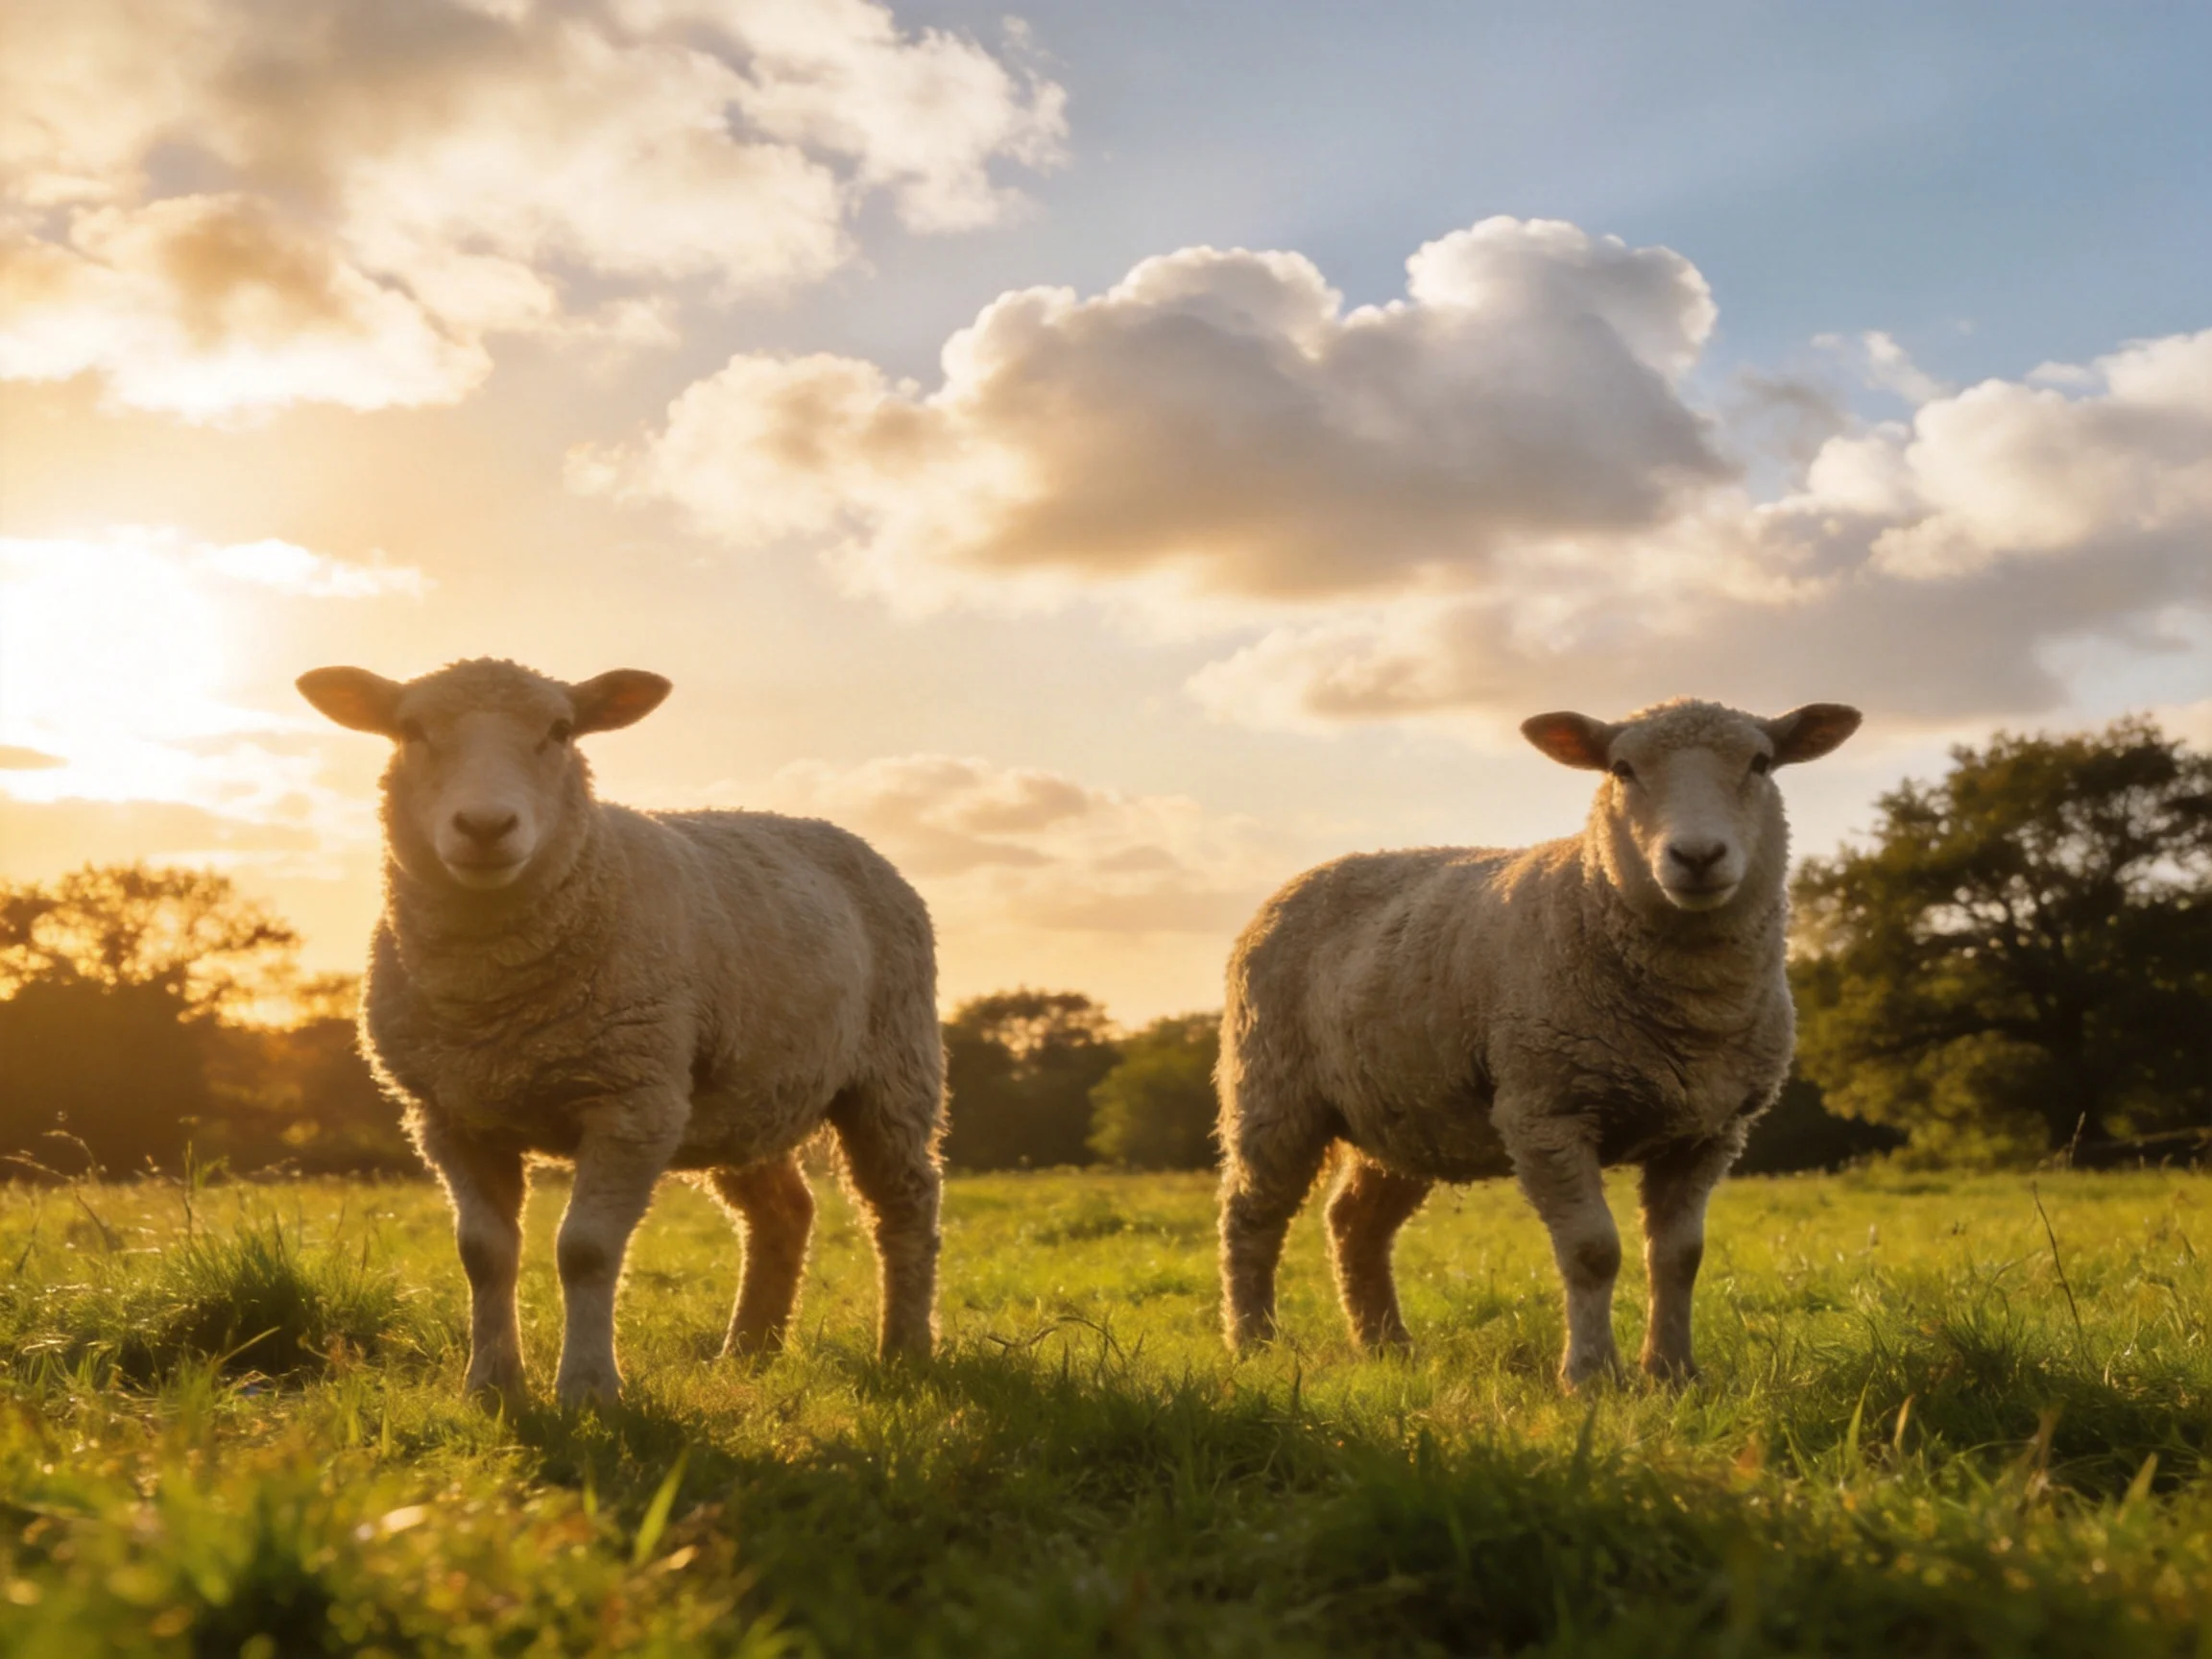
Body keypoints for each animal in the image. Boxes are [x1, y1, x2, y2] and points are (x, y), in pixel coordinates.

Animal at [297, 657, 944, 1407]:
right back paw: (748, 1353)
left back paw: (905, 1350)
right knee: (783, 1211)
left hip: (892, 1070)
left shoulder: (632, 1101)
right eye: (410, 730)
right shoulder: (451, 1116)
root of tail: (831, 831)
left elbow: (586, 1249)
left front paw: (587, 1389)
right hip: (744, 1095)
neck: (495, 1001)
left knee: (905, 1206)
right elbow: (484, 1254)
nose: (486, 825)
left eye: (560, 730)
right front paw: (491, 1386)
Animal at [1216, 697, 1861, 1388]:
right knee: (1251, 1217)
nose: (1697, 855)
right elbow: (1593, 1251)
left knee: (1354, 1224)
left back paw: (1386, 1346)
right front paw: (1591, 1377)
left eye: (1761, 763)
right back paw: (1254, 1342)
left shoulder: (1709, 1132)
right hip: (1272, 1090)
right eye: (1622, 769)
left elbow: (1680, 1256)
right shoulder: (1546, 1109)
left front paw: (1673, 1373)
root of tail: (1308, 876)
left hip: (1404, 1115)